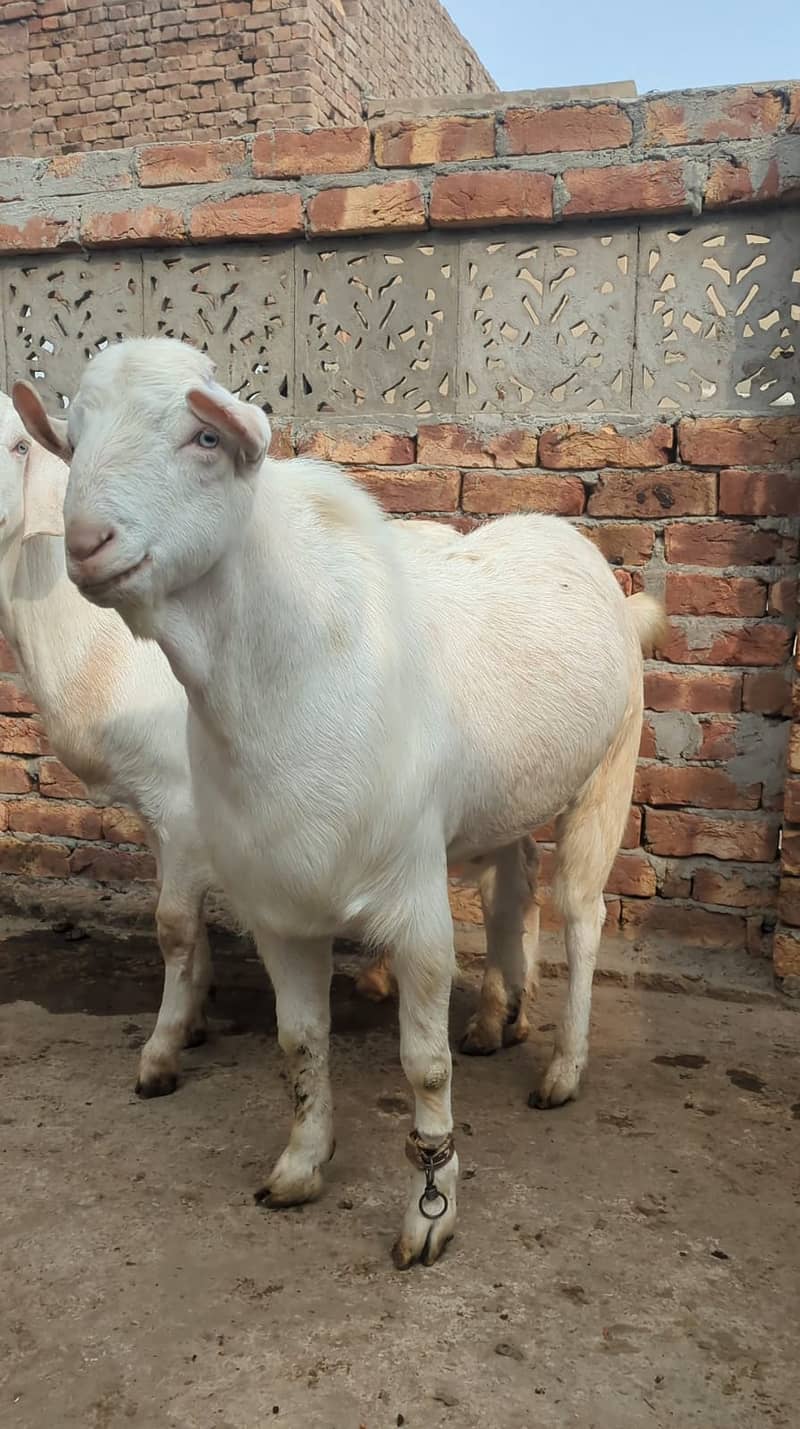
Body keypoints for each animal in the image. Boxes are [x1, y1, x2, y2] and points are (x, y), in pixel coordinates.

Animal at [16, 340, 666, 1268]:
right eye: (72, 440)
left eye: (203, 438)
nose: (86, 542)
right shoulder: (277, 899)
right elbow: (299, 1039)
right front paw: (300, 1162)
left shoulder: (413, 898)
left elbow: (424, 1063)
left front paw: (431, 1209)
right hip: (507, 793)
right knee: (517, 885)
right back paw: (499, 1018)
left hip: (609, 768)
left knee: (581, 910)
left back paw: (562, 1069)